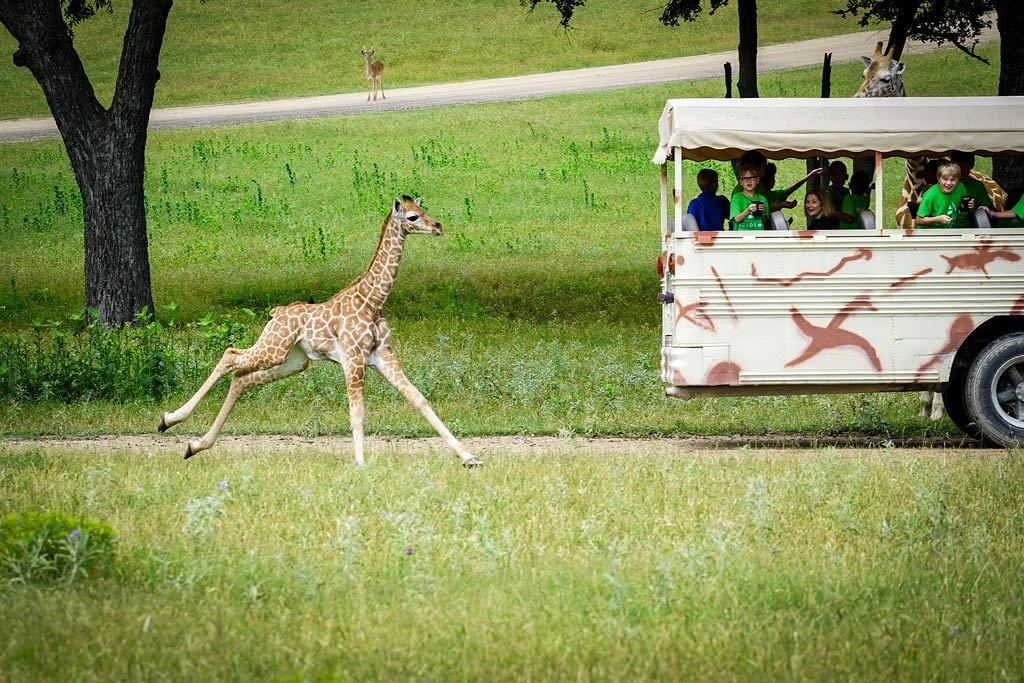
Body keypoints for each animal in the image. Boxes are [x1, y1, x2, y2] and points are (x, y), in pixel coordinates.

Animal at [158, 196, 483, 468]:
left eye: (424, 211)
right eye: (413, 216)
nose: (438, 226)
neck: (373, 301)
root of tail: (276, 312)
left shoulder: (383, 355)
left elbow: (419, 399)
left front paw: (469, 457)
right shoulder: (353, 359)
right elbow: (357, 413)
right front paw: (360, 463)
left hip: (293, 360)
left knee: (241, 379)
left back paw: (194, 445)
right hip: (274, 348)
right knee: (230, 355)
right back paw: (168, 419)